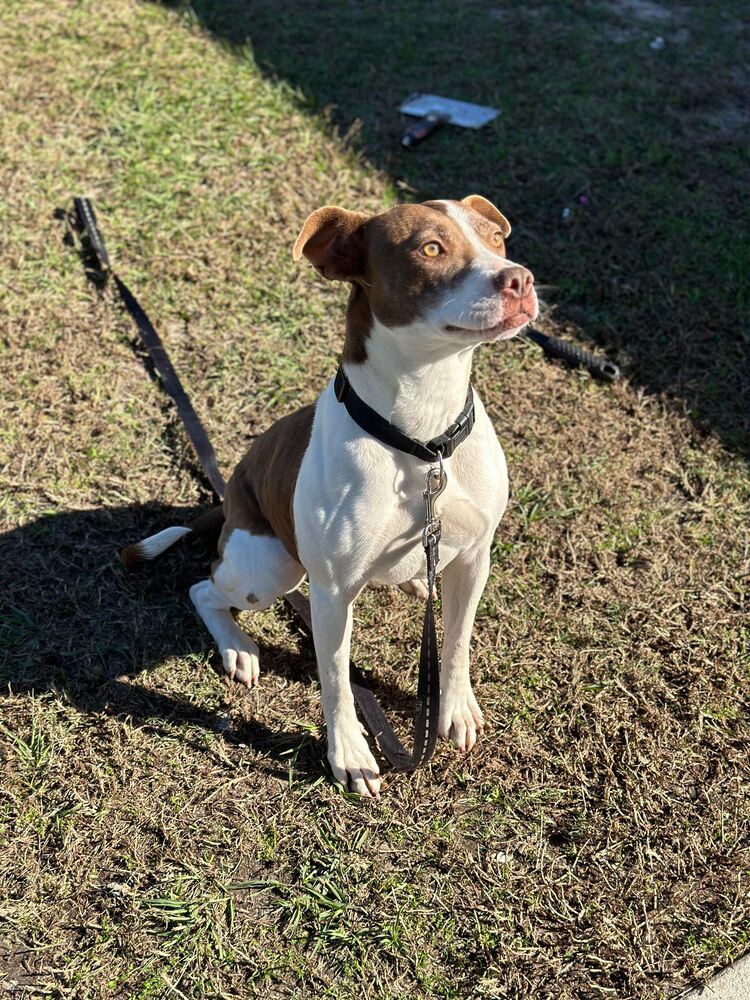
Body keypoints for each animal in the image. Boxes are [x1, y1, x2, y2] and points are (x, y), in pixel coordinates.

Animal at [126, 195, 540, 796]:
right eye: (430, 248)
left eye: (494, 237)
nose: (520, 279)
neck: (422, 438)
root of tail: (227, 503)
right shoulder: (332, 593)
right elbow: (337, 680)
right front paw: (350, 753)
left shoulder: (474, 557)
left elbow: (458, 641)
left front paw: (455, 710)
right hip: (269, 568)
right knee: (203, 587)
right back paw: (237, 647)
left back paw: (416, 581)